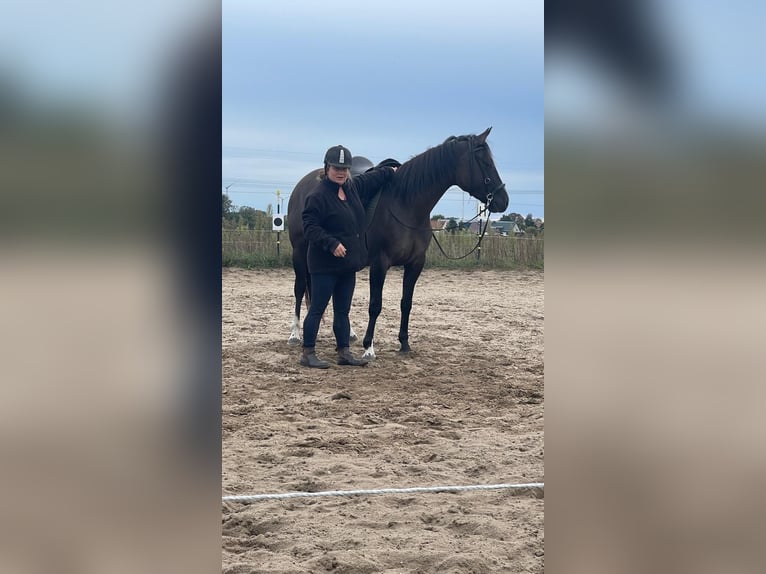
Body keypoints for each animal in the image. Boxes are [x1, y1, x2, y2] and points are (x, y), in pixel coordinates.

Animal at [287, 127, 509, 359]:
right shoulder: (380, 264)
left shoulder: (415, 263)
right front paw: (369, 347)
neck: (405, 203)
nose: (503, 200)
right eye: (485, 162)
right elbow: (375, 305)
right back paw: (295, 334)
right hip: (300, 253)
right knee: (300, 288)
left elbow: (406, 303)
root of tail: (305, 183)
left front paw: (404, 343)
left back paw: (349, 333)